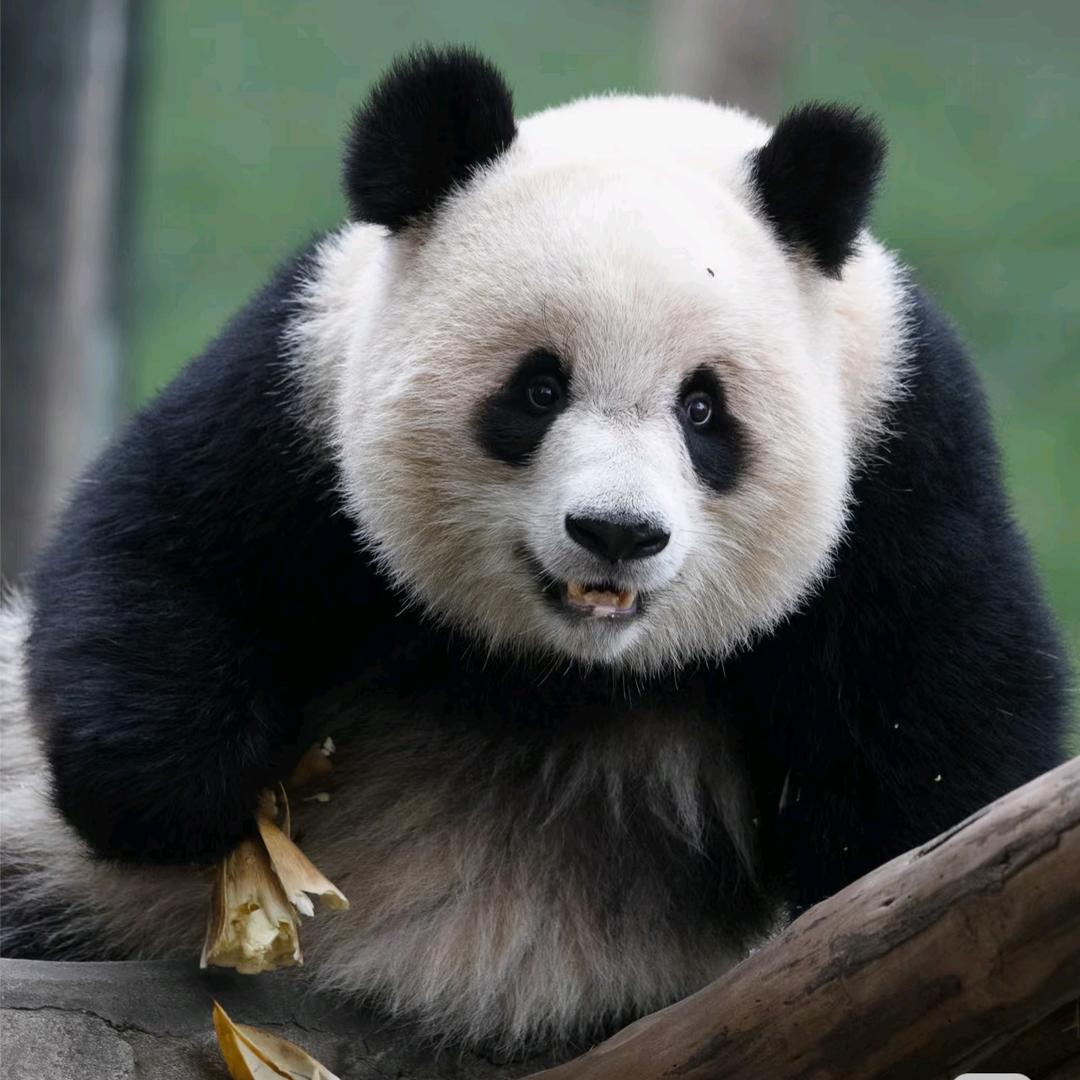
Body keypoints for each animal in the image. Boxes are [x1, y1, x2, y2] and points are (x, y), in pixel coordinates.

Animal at [0, 46, 1068, 1051]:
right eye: (539, 388)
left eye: (703, 409)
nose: (616, 533)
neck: (571, 672)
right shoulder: (300, 385)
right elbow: (164, 558)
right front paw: (212, 795)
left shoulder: (902, 451)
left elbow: (932, 750)